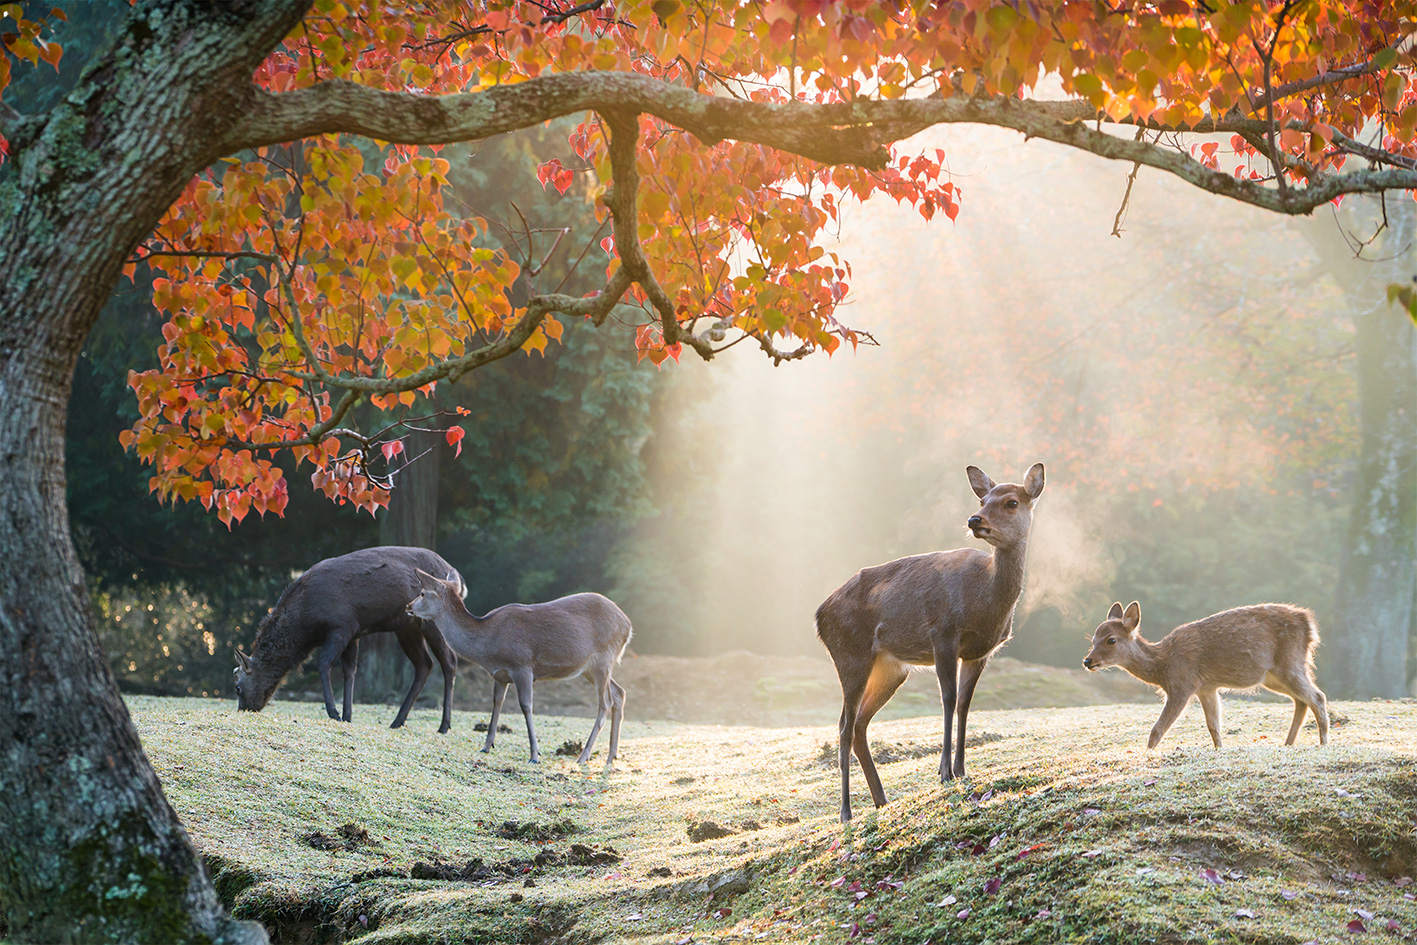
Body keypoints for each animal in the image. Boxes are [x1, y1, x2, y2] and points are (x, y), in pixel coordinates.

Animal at [234, 546, 462, 733]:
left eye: (237, 687)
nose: (244, 710)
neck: (307, 622)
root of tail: (457, 579)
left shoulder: (342, 625)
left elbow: (324, 663)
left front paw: (334, 712)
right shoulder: (354, 632)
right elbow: (350, 670)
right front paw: (347, 716)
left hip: (433, 621)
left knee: (449, 662)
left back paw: (444, 725)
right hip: (408, 627)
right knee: (424, 664)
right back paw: (398, 721)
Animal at [406, 569, 632, 765]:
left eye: (423, 593)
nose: (408, 606)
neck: (488, 645)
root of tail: (628, 625)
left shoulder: (522, 666)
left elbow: (525, 706)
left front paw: (535, 754)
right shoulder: (500, 675)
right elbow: (497, 703)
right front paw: (486, 746)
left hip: (604, 658)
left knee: (605, 703)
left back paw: (583, 756)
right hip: (590, 668)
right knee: (619, 693)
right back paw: (611, 756)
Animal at [816, 463, 1045, 822]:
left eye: (1011, 502)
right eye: (982, 499)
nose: (975, 520)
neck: (985, 604)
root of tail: (819, 616)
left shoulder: (979, 652)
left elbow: (965, 703)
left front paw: (962, 769)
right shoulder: (943, 633)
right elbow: (948, 700)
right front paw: (945, 772)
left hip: (891, 668)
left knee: (860, 725)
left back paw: (881, 799)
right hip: (850, 654)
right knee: (843, 726)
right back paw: (846, 812)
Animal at [1083, 600, 1330, 749]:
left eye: (1111, 640)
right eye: (1093, 639)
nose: (1087, 661)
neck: (1163, 665)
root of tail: (1309, 625)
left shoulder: (1182, 684)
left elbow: (1158, 729)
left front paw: (1148, 753)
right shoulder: (1206, 688)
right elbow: (1213, 726)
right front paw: (1220, 749)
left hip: (1289, 663)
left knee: (1317, 696)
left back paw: (1323, 743)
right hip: (1273, 677)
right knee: (1302, 700)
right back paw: (1288, 744)